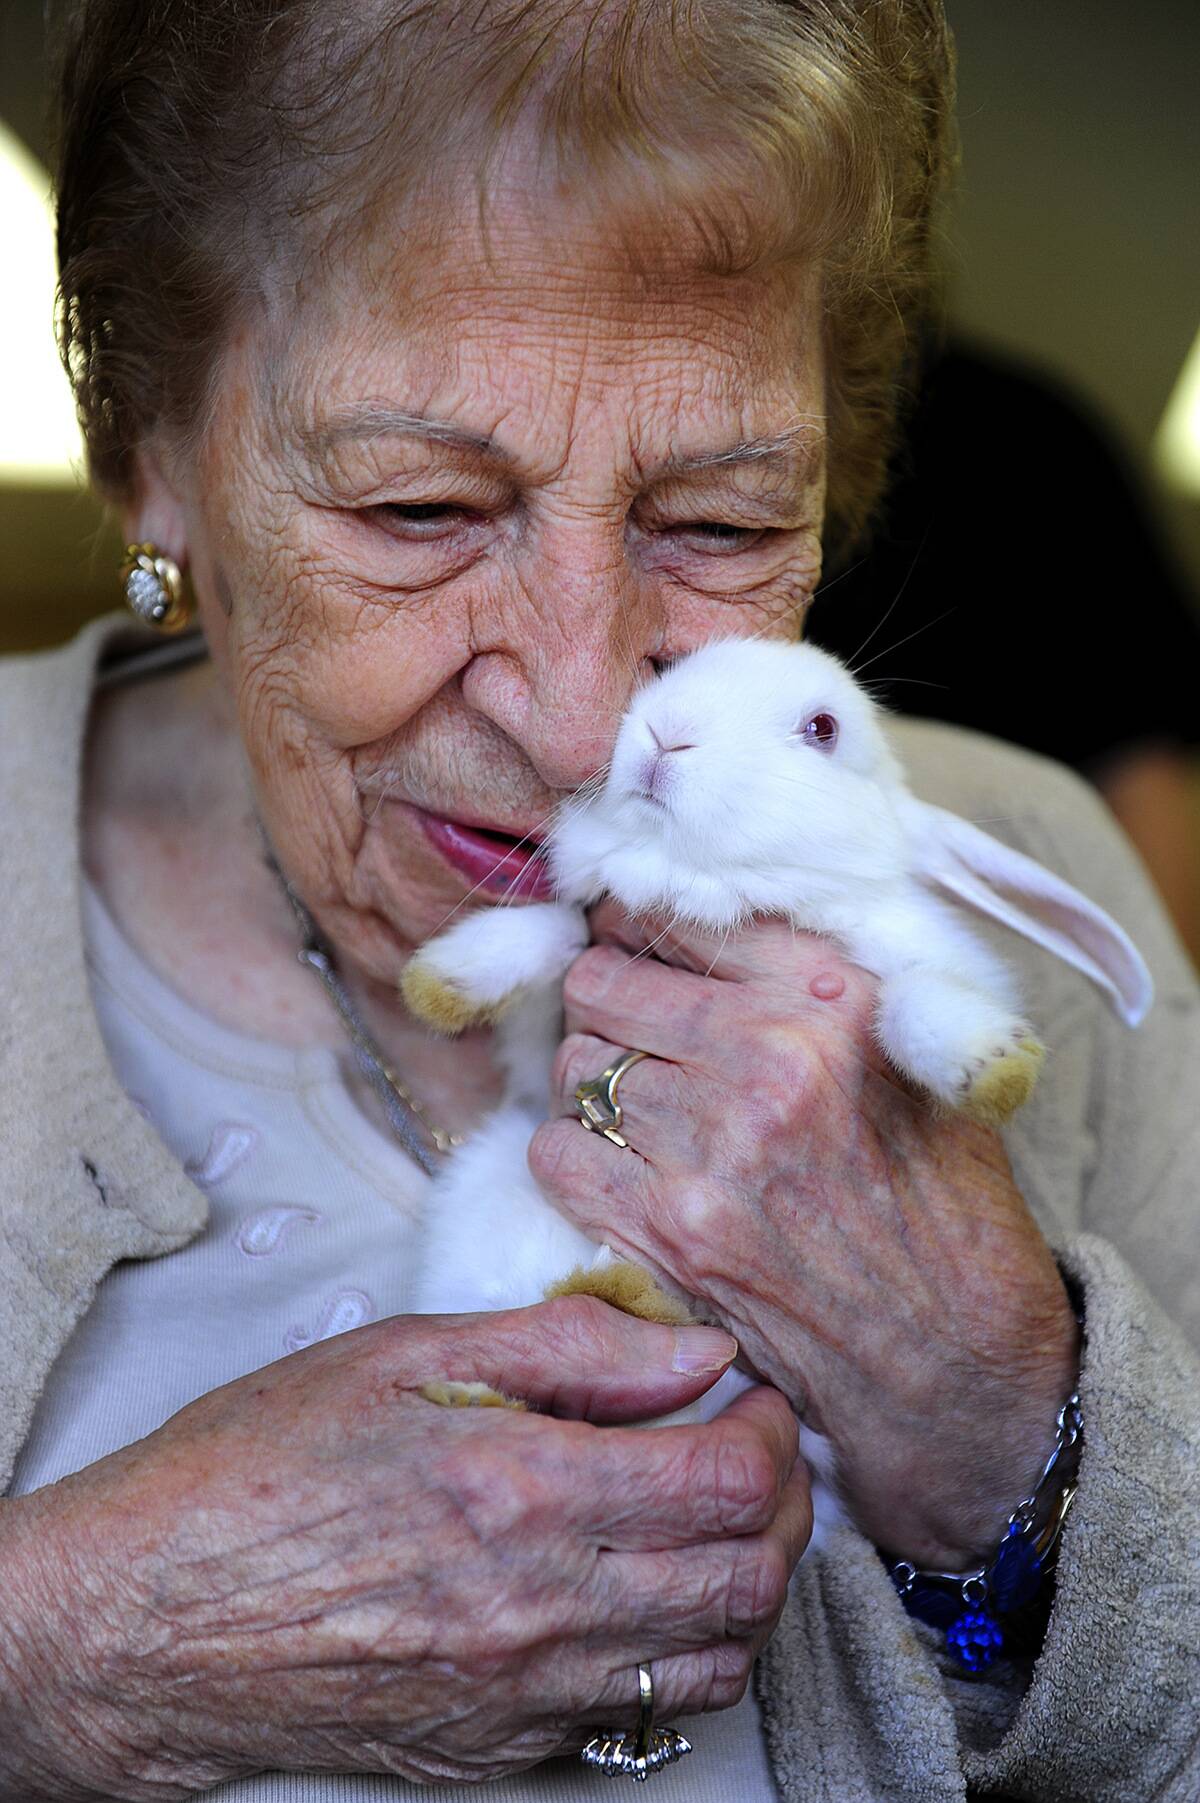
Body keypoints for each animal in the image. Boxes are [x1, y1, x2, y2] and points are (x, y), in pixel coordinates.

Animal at [402, 638, 1152, 1527]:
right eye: (672, 668)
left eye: (823, 728)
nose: (665, 731)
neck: (703, 880)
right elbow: (550, 929)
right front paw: (438, 984)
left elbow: (914, 1000)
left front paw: (993, 1068)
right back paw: (492, 1382)